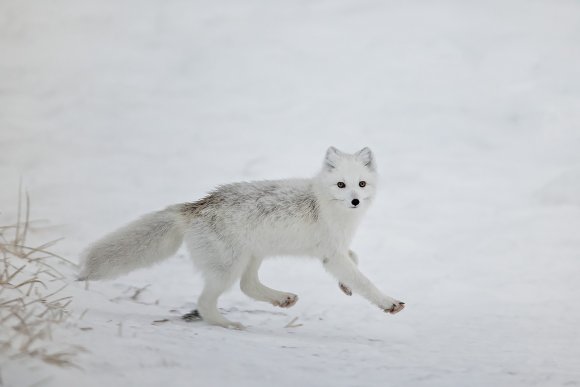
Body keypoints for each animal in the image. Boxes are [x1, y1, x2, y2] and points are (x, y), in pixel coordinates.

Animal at [80, 147, 404, 328]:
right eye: (341, 185)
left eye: (361, 184)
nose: (355, 201)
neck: (324, 203)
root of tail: (195, 206)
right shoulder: (331, 255)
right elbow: (364, 281)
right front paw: (388, 303)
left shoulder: (335, 251)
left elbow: (355, 260)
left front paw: (345, 288)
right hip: (228, 268)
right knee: (205, 302)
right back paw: (228, 324)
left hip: (252, 257)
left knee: (247, 286)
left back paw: (282, 299)